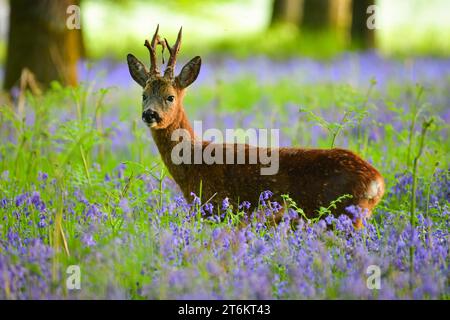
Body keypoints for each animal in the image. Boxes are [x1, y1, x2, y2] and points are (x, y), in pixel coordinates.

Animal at [126, 26, 384, 228]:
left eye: (170, 97)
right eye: (143, 95)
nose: (149, 114)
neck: (195, 164)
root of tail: (378, 182)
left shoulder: (218, 208)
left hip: (343, 216)